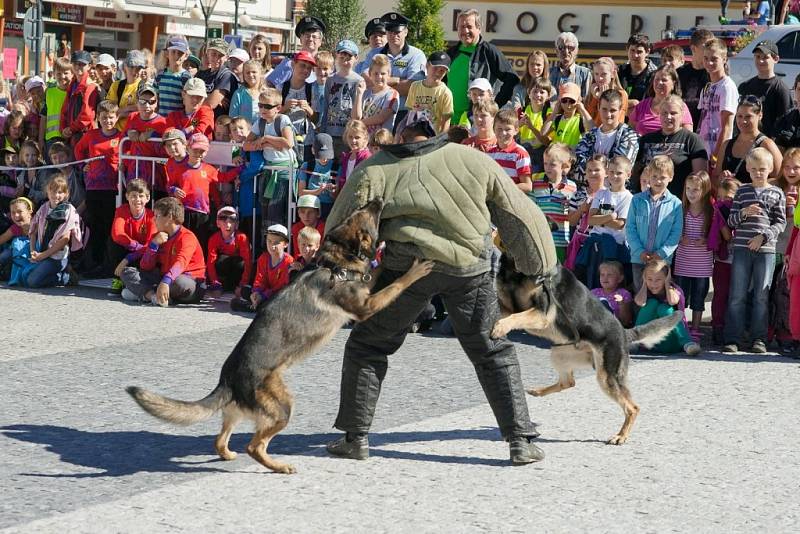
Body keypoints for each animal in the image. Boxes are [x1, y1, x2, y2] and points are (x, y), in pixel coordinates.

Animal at [128, 199, 434, 476]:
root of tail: (228, 379)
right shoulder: (366, 307)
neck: (335, 263)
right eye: (368, 213)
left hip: (241, 412)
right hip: (284, 407)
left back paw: (229, 454)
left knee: (220, 439)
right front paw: (415, 270)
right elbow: (396, 284)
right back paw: (278, 466)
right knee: (254, 446)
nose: (379, 199)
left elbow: (376, 273)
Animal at [488, 253, 680, 446]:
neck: (514, 268)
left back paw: (621, 436)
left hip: (606, 377)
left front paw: (500, 327)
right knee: (568, 382)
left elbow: (516, 316)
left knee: (632, 408)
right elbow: (510, 313)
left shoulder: (541, 314)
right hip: (559, 353)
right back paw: (537, 391)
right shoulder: (506, 307)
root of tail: (624, 332)